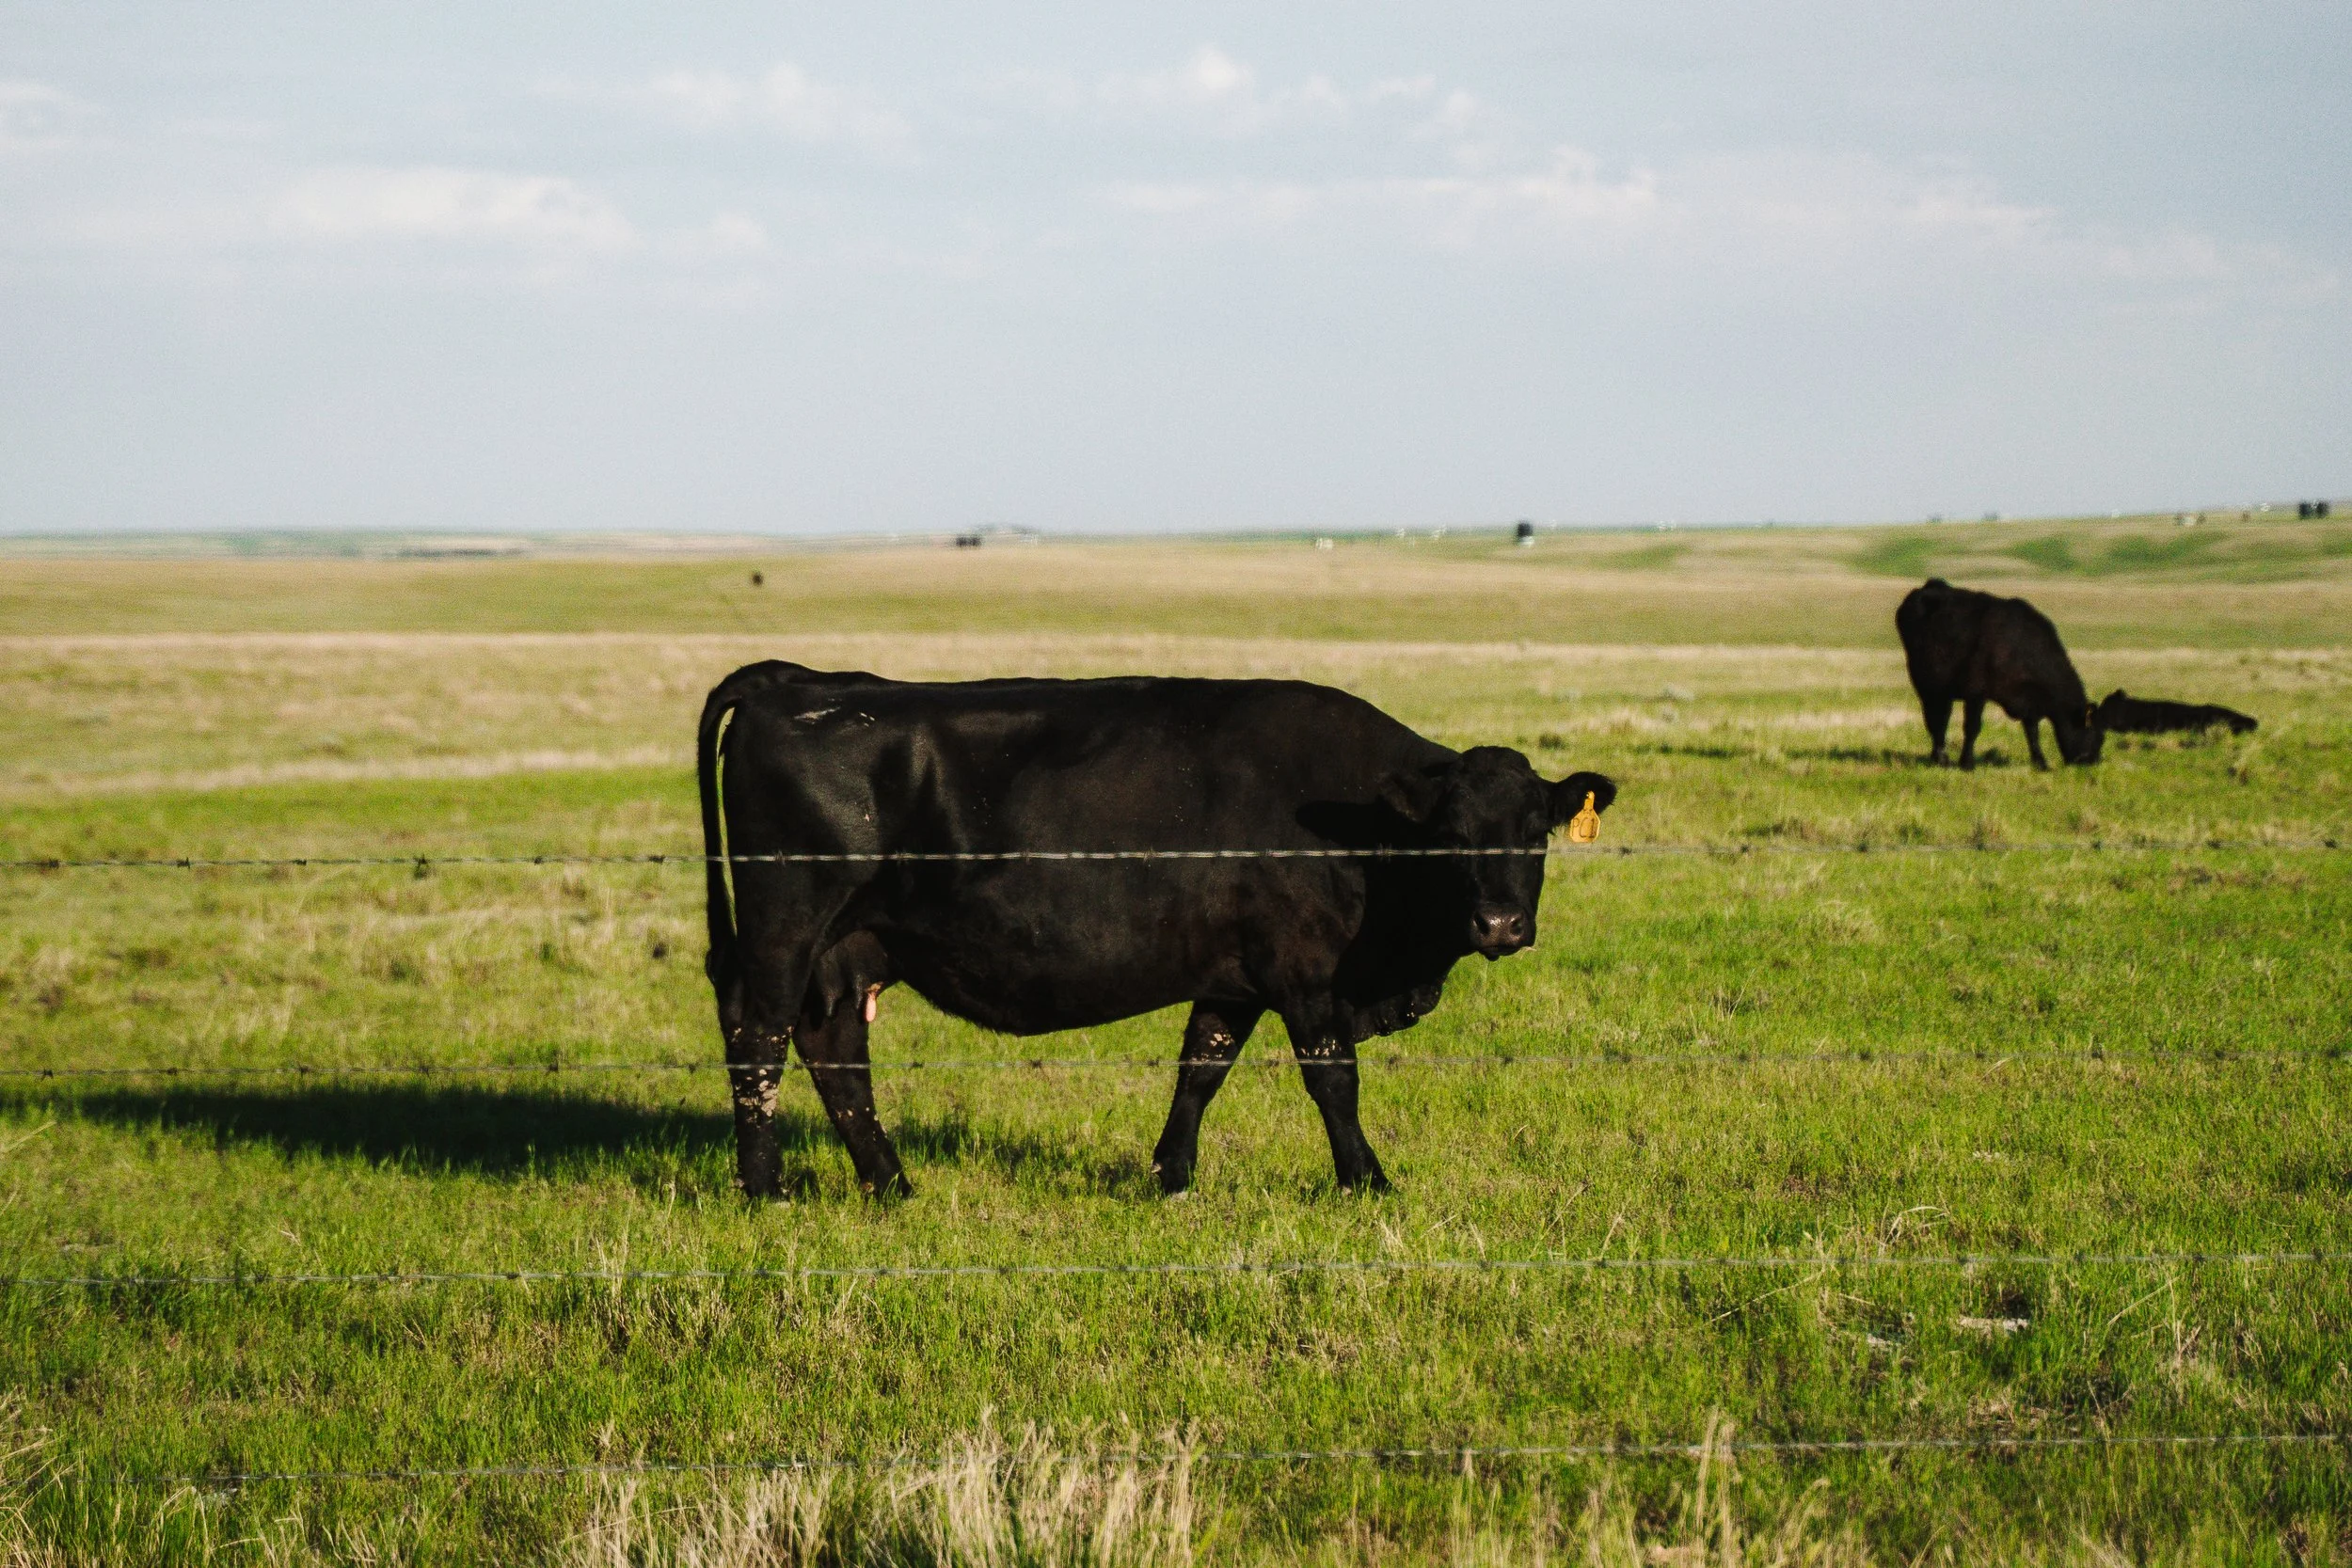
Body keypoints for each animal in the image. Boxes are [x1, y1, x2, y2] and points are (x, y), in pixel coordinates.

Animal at [696, 662, 1616, 1200]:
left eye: (1534, 829)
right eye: (1454, 833)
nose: (1501, 922)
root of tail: (795, 680)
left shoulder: (1233, 976)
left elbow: (1200, 1068)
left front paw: (1170, 1176)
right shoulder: (1306, 973)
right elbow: (1333, 1081)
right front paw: (1368, 1180)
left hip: (849, 947)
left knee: (834, 1051)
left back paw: (891, 1183)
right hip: (784, 929)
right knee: (759, 1037)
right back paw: (767, 1188)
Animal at [1895, 579, 2103, 769]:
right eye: (2096, 736)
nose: (2095, 761)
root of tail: (1930, 586)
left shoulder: (2030, 701)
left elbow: (2032, 732)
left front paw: (2041, 763)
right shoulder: (1976, 692)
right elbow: (1972, 727)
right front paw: (1967, 763)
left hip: (1941, 691)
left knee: (1940, 719)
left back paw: (1938, 758)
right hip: (1925, 684)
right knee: (1936, 720)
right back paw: (1941, 759)